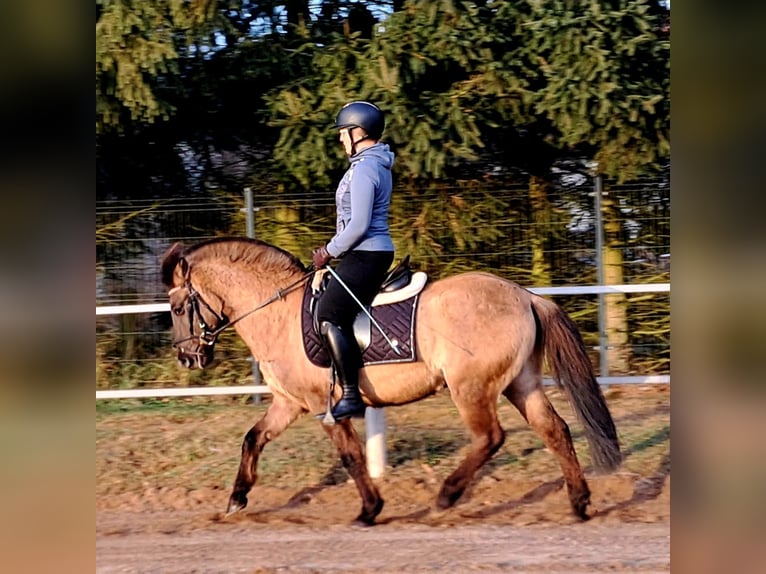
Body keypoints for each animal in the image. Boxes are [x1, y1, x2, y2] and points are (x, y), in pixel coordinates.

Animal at [160, 237, 621, 525]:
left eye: (180, 307)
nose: (187, 357)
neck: (278, 313)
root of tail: (526, 296)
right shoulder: (289, 403)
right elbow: (252, 439)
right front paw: (236, 499)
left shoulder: (324, 405)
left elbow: (350, 456)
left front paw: (369, 510)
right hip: (519, 383)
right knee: (554, 430)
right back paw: (579, 502)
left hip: (471, 388)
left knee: (490, 437)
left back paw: (446, 495)